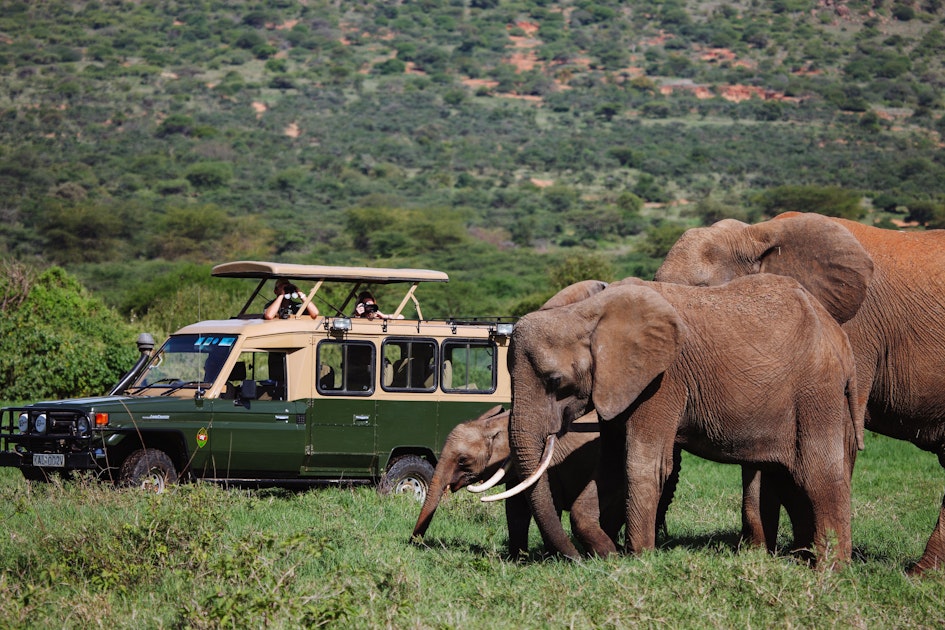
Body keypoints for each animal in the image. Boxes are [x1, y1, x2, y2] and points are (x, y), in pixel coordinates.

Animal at [408, 404, 620, 556]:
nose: (413, 544)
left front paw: (553, 558)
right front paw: (517, 559)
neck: (496, 424)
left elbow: (550, 505)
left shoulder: (550, 465)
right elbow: (515, 510)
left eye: (463, 460)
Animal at [502, 274, 864, 572]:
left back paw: (829, 572)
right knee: (781, 477)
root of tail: (841, 340)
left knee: (817, 473)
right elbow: (611, 465)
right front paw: (613, 555)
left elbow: (643, 464)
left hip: (815, 391)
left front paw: (639, 561)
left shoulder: (662, 381)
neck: (584, 314)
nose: (573, 560)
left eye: (555, 380)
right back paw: (792, 562)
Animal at [652, 214, 944, 576]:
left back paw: (918, 575)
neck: (758, 235)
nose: (661, 540)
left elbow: (831, 444)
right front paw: (761, 556)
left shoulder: (845, 331)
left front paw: (810, 560)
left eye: (704, 293)